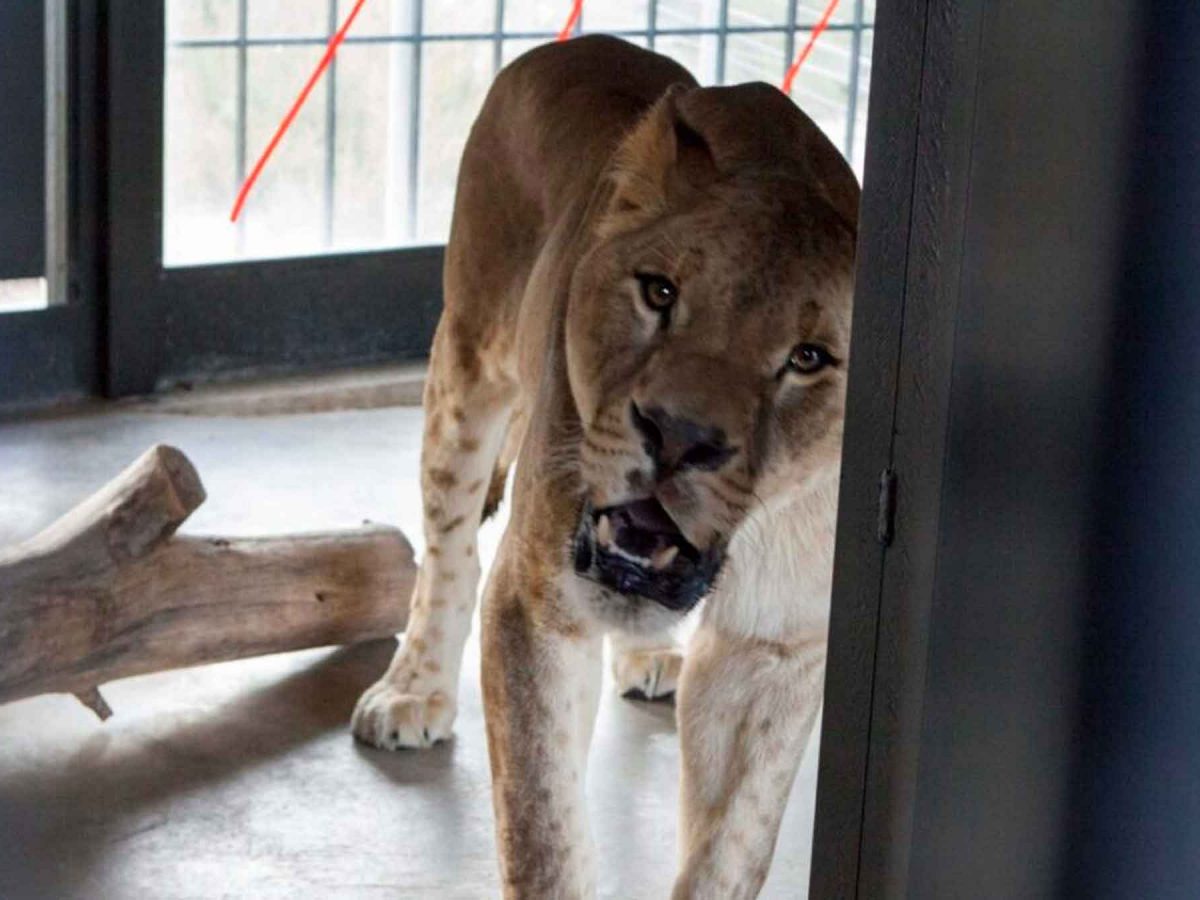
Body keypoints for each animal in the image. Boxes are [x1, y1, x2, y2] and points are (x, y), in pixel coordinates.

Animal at [351, 35, 859, 898]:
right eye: (659, 292)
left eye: (808, 359)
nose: (678, 435)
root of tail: (573, 45)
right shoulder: (535, 605)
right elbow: (544, 834)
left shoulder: (774, 646)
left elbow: (732, 848)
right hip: (467, 361)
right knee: (447, 547)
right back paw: (413, 688)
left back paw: (650, 654)